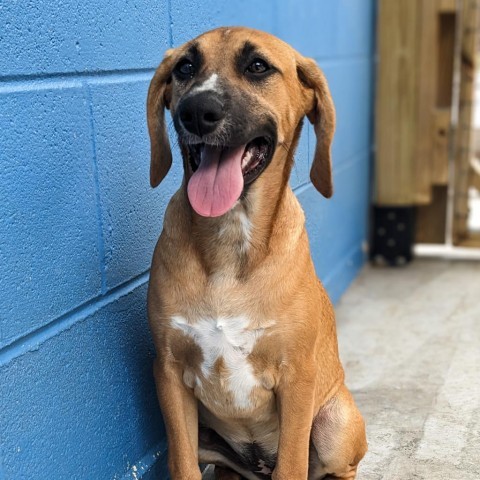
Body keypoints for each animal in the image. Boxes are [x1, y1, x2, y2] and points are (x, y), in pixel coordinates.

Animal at [146, 27, 368, 480]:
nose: (197, 111)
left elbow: (292, 464)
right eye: (185, 67)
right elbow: (182, 464)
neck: (230, 245)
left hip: (335, 426)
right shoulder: (169, 374)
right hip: (210, 439)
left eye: (258, 66)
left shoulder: (298, 378)